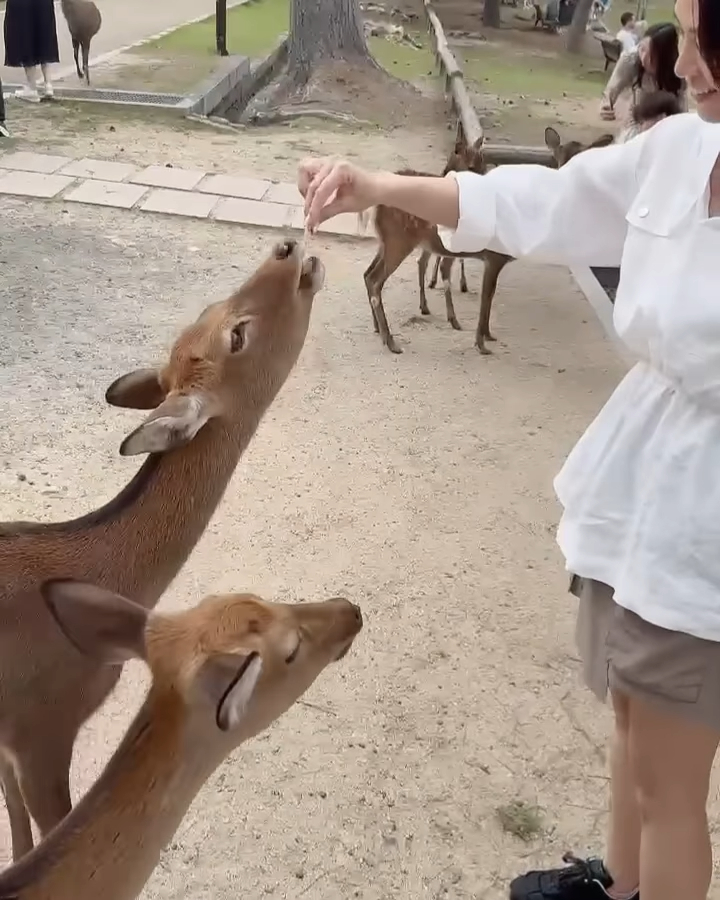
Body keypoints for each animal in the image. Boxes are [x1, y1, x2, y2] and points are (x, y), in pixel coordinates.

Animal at [366, 130, 612, 356]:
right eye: (563, 160)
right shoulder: (493, 256)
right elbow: (486, 297)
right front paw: (481, 344)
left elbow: (489, 296)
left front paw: (488, 336)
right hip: (398, 240)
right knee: (376, 280)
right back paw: (391, 341)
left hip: (386, 241)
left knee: (368, 274)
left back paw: (379, 329)